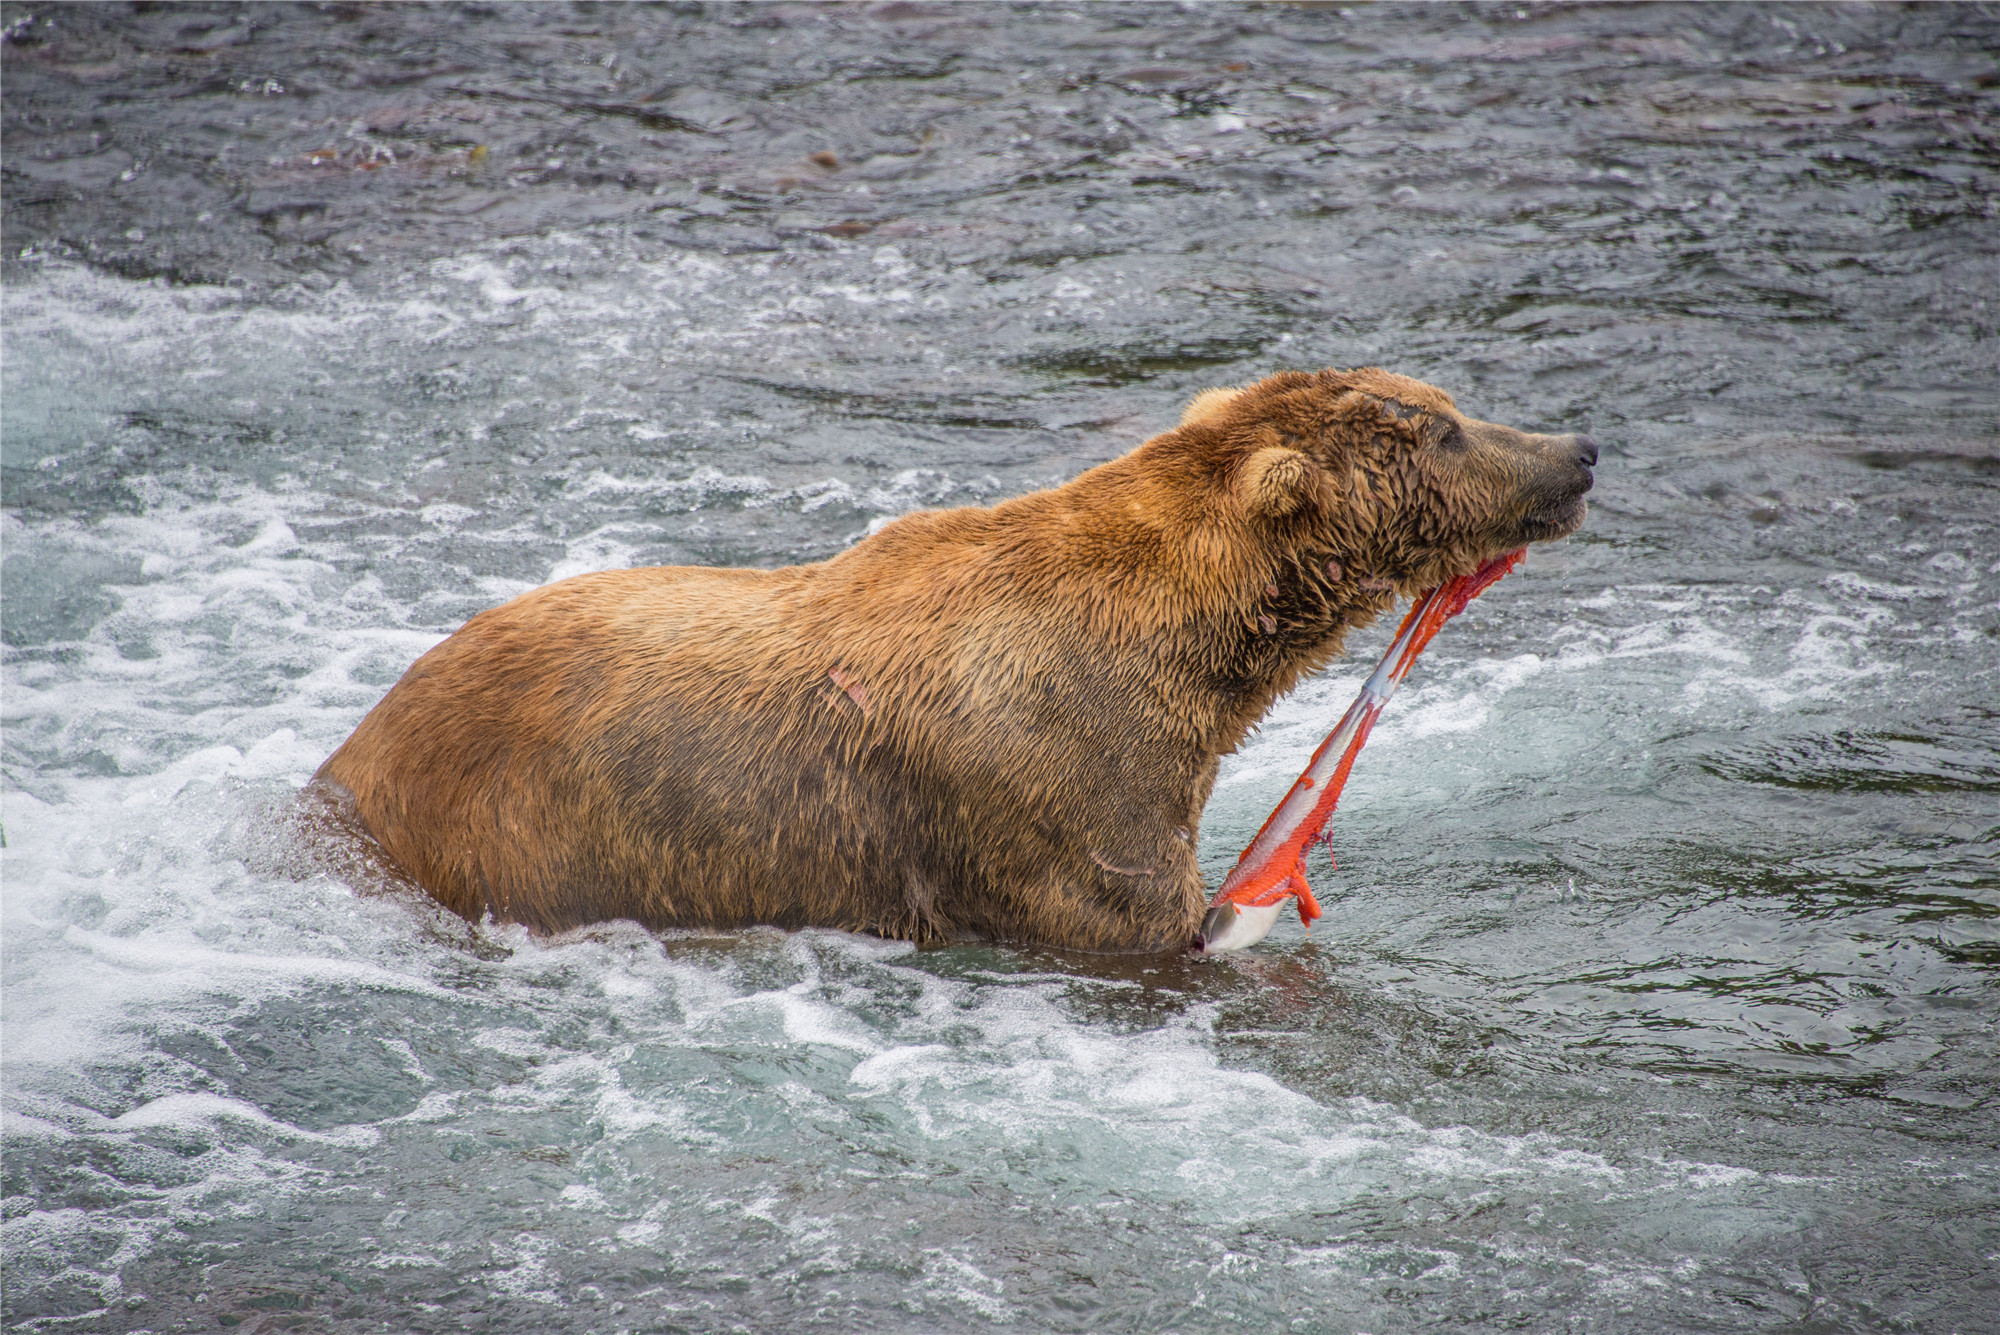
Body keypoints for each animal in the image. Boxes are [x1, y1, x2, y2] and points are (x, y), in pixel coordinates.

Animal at [312, 365, 1592, 947]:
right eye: (1440, 428)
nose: (1575, 448)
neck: (1188, 644)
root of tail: (357, 744)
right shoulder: (1062, 781)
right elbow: (1140, 913)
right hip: (512, 827)